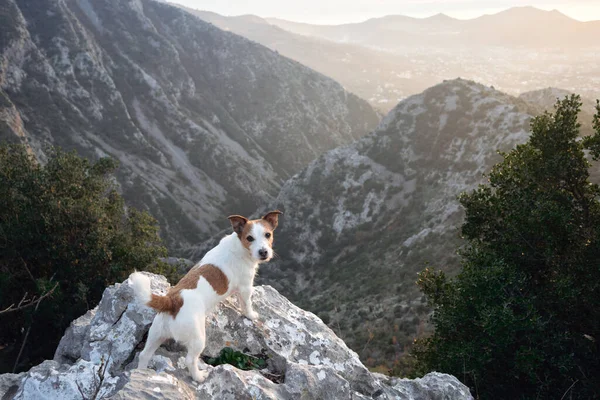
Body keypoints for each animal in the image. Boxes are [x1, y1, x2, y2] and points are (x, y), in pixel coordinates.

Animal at [127, 209, 282, 382]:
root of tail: (172, 300)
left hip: (156, 334)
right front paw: (251, 315)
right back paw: (199, 377)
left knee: (144, 354)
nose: (263, 252)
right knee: (189, 360)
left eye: (268, 234)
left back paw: (141, 372)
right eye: (250, 238)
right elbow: (246, 304)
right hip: (198, 338)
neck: (240, 246)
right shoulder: (246, 286)